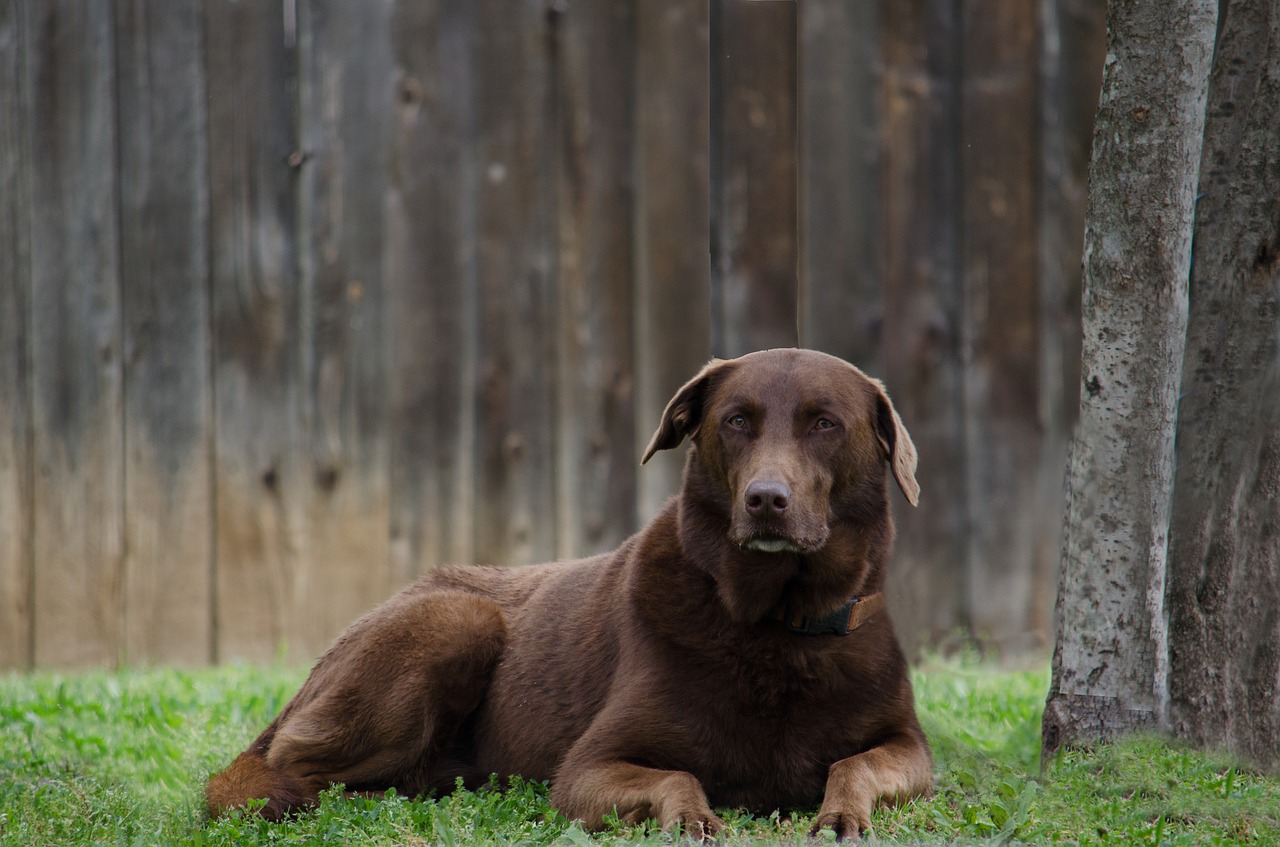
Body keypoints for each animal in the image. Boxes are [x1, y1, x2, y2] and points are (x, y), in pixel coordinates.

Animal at [207, 348, 931, 839]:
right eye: (735, 421)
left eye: (825, 424)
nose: (765, 500)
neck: (778, 623)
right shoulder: (588, 768)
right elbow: (679, 776)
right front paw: (693, 818)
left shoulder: (911, 751)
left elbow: (854, 767)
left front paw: (840, 815)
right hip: (455, 618)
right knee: (292, 772)